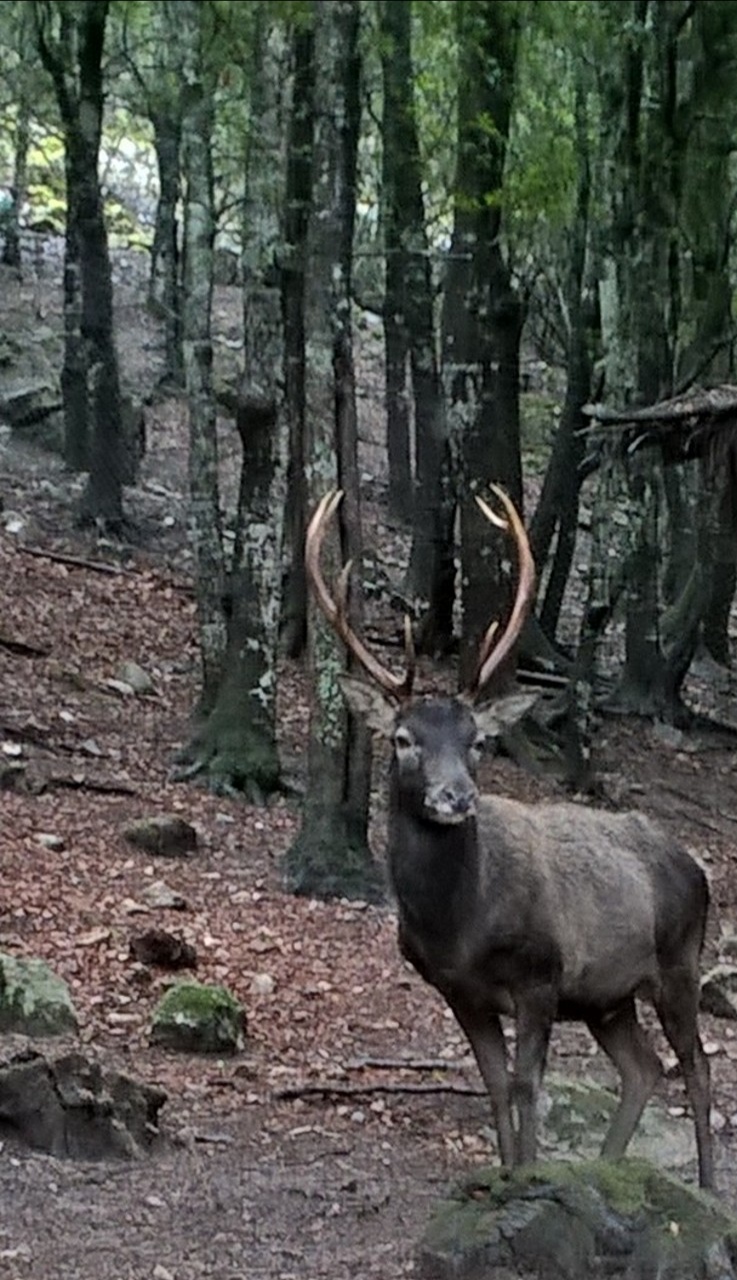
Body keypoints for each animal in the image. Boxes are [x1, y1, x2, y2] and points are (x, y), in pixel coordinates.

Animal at [303, 481, 716, 1187]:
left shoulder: (541, 975)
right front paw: (505, 1176)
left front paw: (528, 1176)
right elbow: (495, 1087)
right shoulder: (459, 991)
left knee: (698, 1067)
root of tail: (698, 867)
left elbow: (528, 1087)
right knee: (644, 1068)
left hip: (679, 959)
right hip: (609, 996)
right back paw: (606, 1168)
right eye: (403, 739)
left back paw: (709, 1186)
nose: (455, 797)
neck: (461, 925)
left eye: (477, 741)